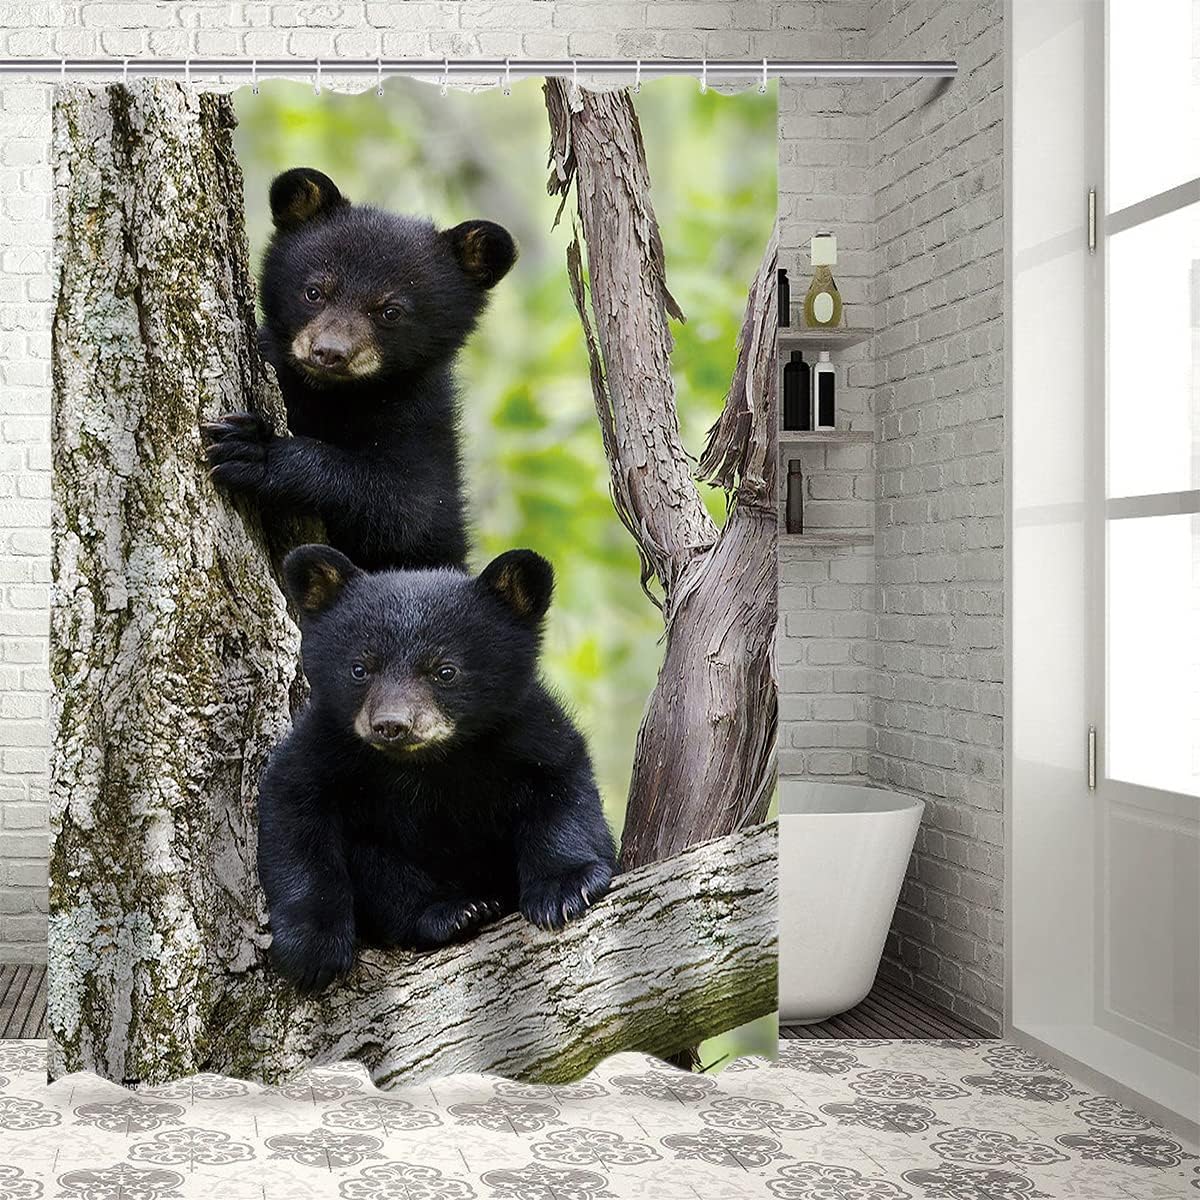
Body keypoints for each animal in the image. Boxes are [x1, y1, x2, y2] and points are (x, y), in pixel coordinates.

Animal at [203, 167, 518, 572]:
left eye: (390, 311)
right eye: (314, 292)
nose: (329, 352)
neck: (330, 395)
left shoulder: (423, 422)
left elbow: (405, 507)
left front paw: (256, 450)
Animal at [256, 542, 617, 992]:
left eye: (445, 670)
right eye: (360, 668)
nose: (392, 724)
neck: (428, 764)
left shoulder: (528, 732)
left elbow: (562, 788)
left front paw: (565, 889)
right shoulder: (329, 746)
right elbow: (294, 809)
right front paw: (311, 947)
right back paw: (453, 912)